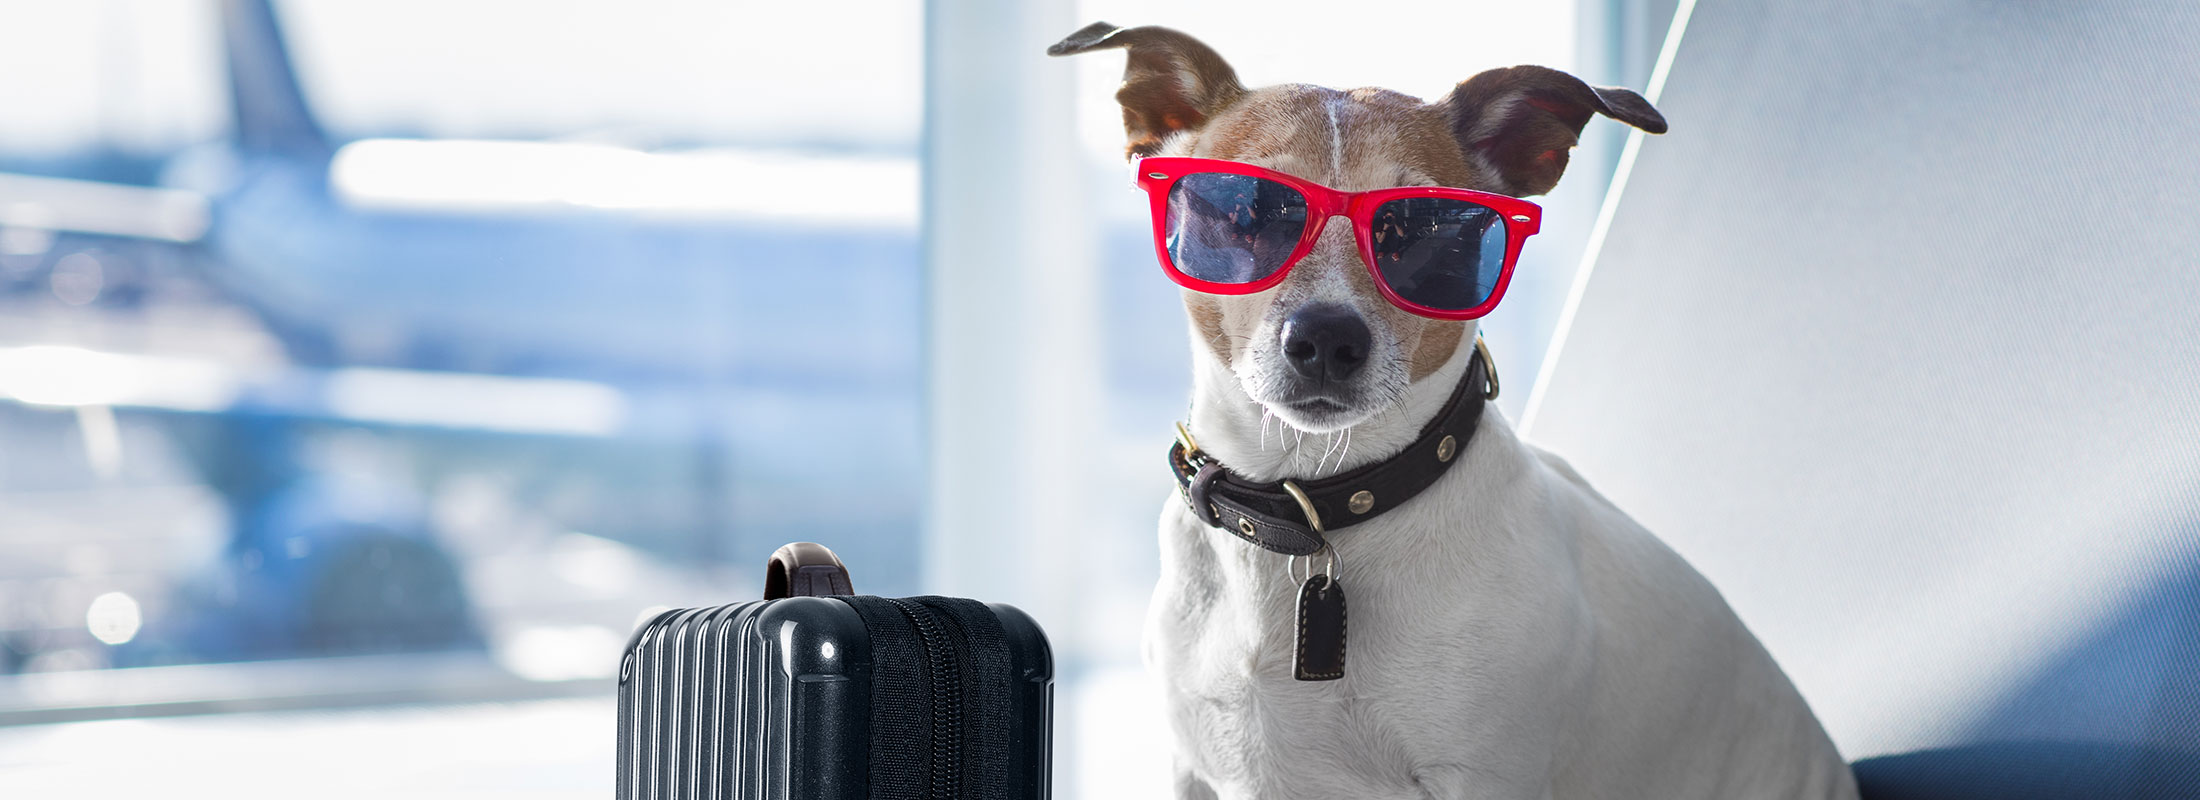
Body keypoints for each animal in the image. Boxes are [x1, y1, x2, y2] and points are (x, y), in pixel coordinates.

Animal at [1047, 21, 1856, 795]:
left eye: (1424, 228)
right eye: (1246, 211)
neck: (1309, 508)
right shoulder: (1193, 767)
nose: (1326, 338)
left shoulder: (1485, 776)